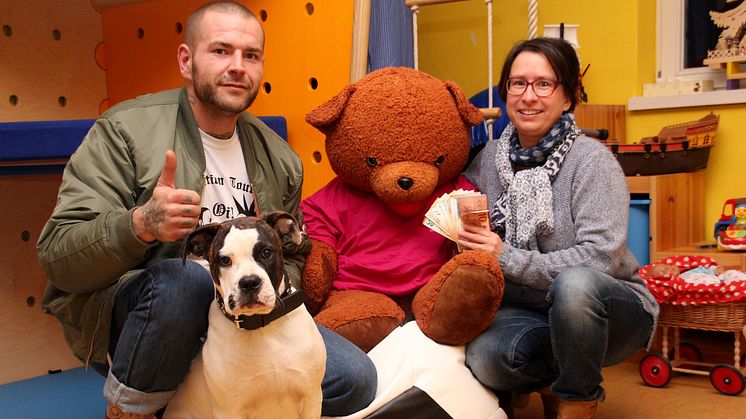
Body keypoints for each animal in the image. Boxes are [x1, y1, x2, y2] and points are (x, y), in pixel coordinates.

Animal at [164, 215, 326, 418]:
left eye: (266, 252)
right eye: (224, 260)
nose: (249, 282)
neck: (263, 327)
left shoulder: (311, 397)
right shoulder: (229, 410)